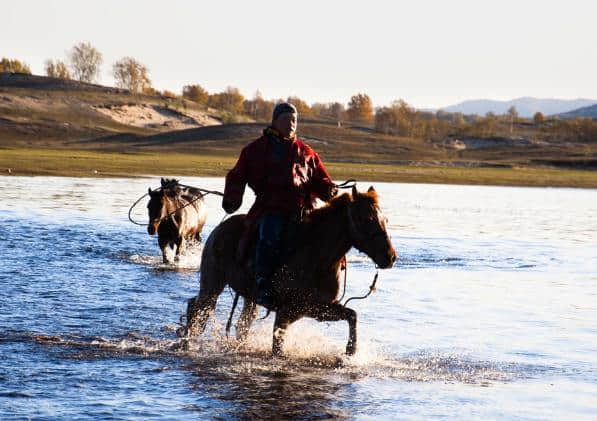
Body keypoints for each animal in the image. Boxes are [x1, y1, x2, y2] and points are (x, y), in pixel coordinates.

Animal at [179, 186, 398, 354]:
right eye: (366, 219)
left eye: (385, 219)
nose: (390, 257)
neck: (318, 259)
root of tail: (220, 229)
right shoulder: (285, 312)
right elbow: (278, 348)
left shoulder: (317, 308)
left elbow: (352, 314)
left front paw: (350, 351)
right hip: (212, 284)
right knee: (198, 311)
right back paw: (186, 341)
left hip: (249, 296)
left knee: (240, 323)